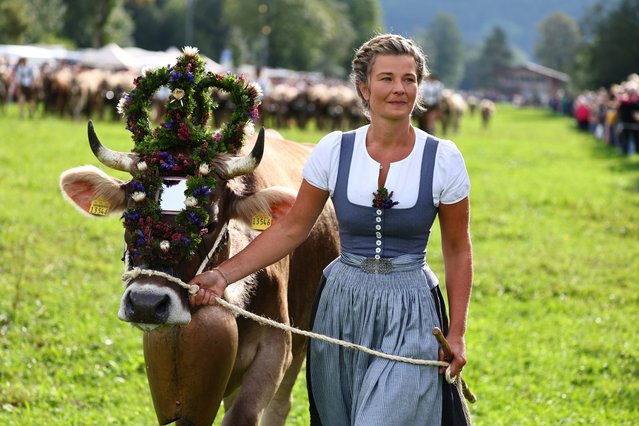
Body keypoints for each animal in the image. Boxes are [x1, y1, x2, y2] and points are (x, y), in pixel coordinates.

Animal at [59, 125, 340, 424]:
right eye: (128, 219)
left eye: (209, 224)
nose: (146, 304)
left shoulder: (275, 347)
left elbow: (244, 413)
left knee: (281, 404)